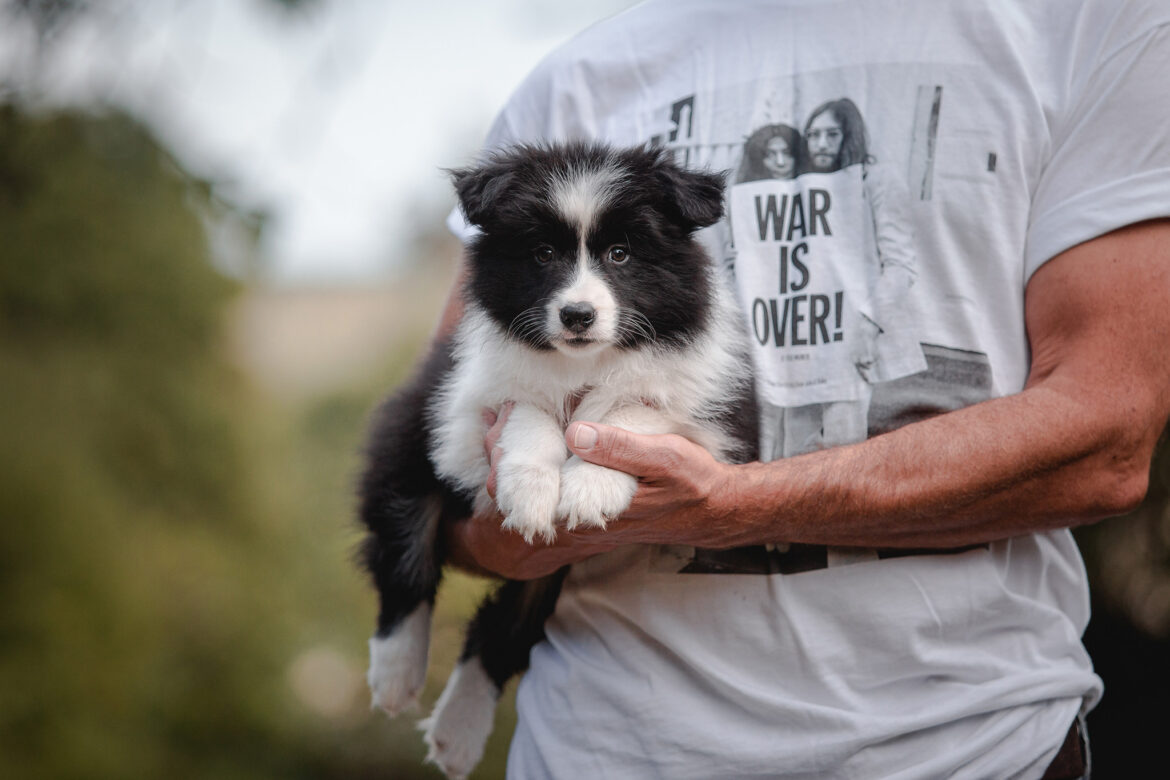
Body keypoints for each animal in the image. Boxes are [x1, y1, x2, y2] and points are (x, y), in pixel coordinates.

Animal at [358, 143, 758, 776]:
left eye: (621, 253)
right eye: (542, 253)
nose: (577, 316)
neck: (585, 363)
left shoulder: (715, 424)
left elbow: (632, 409)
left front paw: (590, 486)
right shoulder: (463, 409)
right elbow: (530, 409)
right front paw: (531, 490)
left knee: (505, 627)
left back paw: (457, 732)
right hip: (412, 426)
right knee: (404, 545)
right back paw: (396, 677)